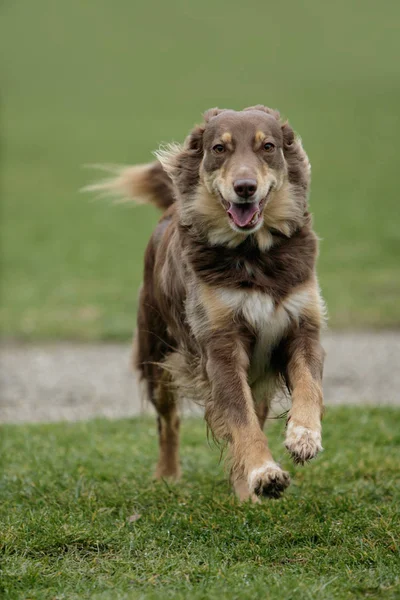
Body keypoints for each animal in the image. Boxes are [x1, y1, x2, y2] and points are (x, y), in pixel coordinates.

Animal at [89, 105, 326, 500]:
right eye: (219, 148)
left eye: (268, 146)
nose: (245, 188)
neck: (252, 255)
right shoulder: (220, 344)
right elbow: (241, 421)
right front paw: (263, 472)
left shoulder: (301, 326)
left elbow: (308, 387)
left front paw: (303, 437)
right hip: (160, 356)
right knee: (168, 422)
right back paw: (169, 475)